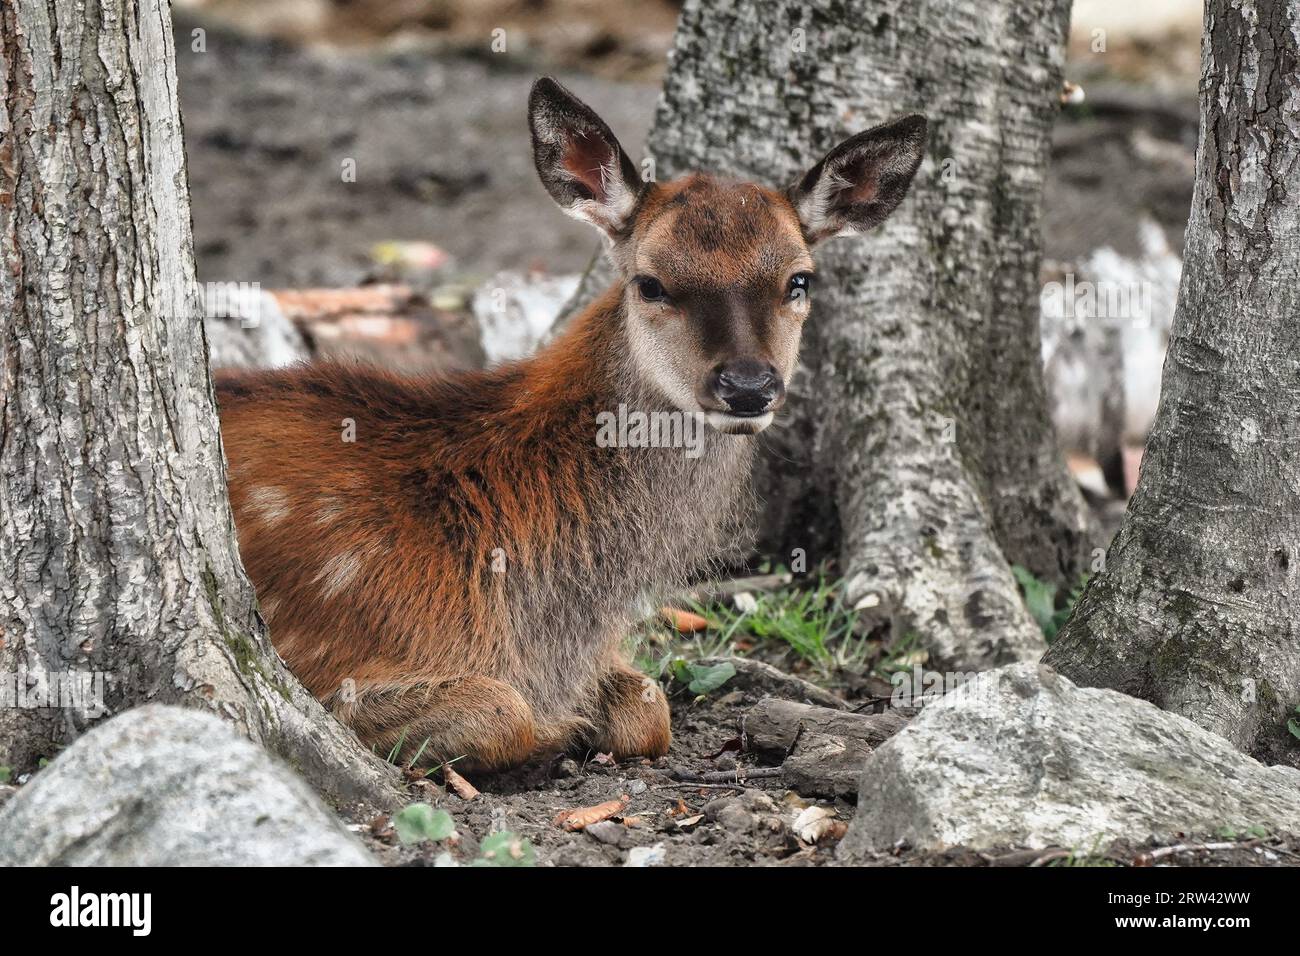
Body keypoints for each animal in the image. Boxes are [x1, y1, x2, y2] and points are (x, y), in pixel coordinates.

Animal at [216, 78, 925, 772]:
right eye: (650, 282)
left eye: (799, 280)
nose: (749, 386)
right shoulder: (331, 664)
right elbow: (506, 711)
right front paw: (554, 738)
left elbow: (650, 707)